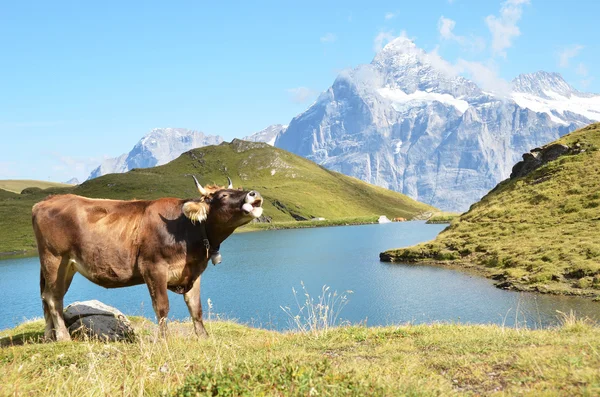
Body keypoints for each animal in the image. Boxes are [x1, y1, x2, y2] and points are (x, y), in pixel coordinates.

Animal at [31, 176, 262, 340]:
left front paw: (203, 337)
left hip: (66, 267)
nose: (254, 193)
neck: (186, 229)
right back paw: (63, 337)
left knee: (48, 297)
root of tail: (45, 202)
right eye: (223, 196)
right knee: (52, 298)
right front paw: (165, 340)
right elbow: (162, 307)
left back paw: (49, 336)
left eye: (238, 189)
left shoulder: (193, 272)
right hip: (54, 259)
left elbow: (196, 308)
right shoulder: (153, 268)